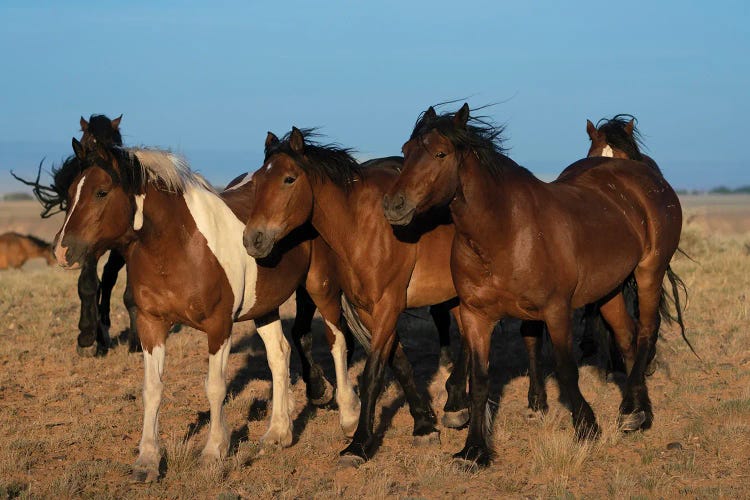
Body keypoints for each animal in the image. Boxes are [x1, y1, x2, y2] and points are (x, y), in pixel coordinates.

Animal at [53, 139, 362, 482]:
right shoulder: (151, 325)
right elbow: (152, 388)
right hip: (264, 305)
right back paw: (278, 433)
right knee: (279, 355)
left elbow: (215, 387)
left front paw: (213, 451)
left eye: (102, 192)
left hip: (321, 287)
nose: (63, 251)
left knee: (337, 341)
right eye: (70, 192)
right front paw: (147, 460)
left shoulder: (218, 326)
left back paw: (349, 417)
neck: (180, 246)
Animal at [388, 103, 688, 466]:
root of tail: (646, 179)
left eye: (440, 153)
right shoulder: (475, 316)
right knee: (627, 336)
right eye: (406, 151)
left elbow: (566, 369)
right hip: (610, 289)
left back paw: (631, 408)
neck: (506, 232)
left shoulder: (556, 310)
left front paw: (586, 427)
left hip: (649, 272)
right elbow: (481, 380)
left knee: (645, 331)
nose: (393, 205)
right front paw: (474, 450)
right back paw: (635, 411)